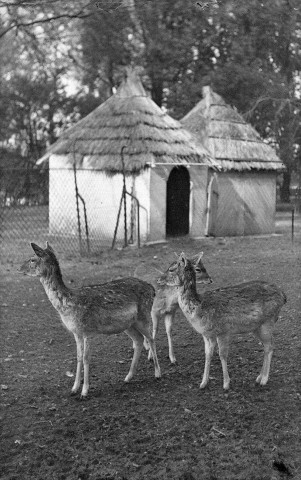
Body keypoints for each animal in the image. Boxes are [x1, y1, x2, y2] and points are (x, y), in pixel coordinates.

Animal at [18, 242, 161, 400]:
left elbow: (86, 358)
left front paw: (85, 391)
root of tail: (152, 289)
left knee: (151, 339)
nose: (19, 268)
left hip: (144, 314)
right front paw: (74, 388)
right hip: (129, 324)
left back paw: (157, 374)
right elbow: (78, 357)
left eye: (32, 259)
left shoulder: (87, 330)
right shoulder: (76, 332)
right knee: (139, 340)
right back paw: (128, 377)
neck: (67, 306)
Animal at [158, 251, 284, 390]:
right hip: (256, 327)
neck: (199, 309)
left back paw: (264, 379)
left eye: (171, 269)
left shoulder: (223, 330)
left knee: (270, 346)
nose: (159, 279)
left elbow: (222, 355)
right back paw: (259, 377)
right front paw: (203, 383)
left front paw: (226, 384)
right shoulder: (207, 334)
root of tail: (284, 296)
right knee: (267, 346)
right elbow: (208, 355)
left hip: (268, 322)